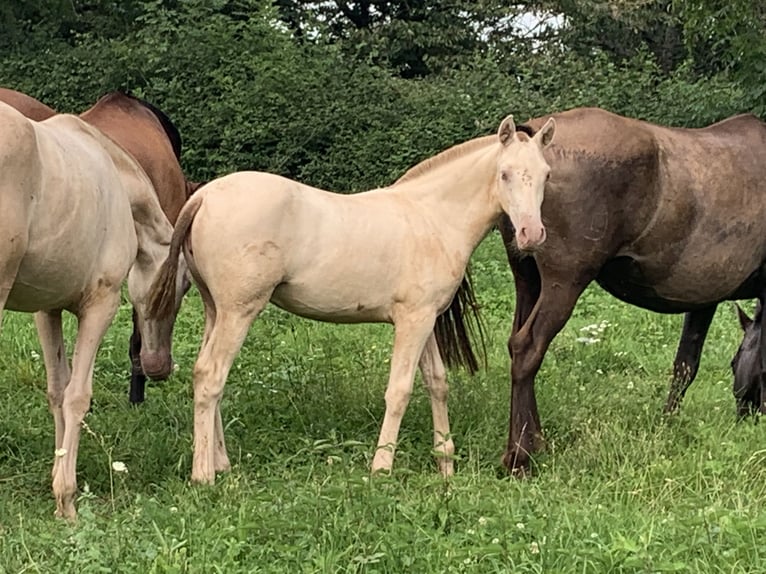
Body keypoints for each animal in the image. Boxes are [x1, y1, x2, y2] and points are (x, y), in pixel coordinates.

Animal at [148, 115, 560, 484]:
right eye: (505, 174)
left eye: (545, 176)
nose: (531, 234)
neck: (432, 218)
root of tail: (204, 196)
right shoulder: (411, 321)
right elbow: (399, 390)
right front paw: (381, 468)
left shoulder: (425, 319)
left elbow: (437, 383)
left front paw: (445, 464)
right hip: (239, 312)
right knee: (210, 376)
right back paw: (204, 476)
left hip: (215, 310)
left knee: (204, 373)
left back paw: (220, 463)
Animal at [492, 107, 766, 472]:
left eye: (734, 363)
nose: (746, 417)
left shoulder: (704, 298)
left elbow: (685, 365)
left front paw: (668, 423)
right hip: (563, 284)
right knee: (527, 349)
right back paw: (521, 455)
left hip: (528, 282)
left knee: (515, 344)